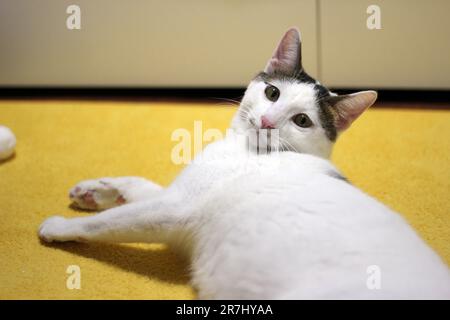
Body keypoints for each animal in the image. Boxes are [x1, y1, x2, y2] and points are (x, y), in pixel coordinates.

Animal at [39, 28, 450, 300]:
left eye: (302, 120)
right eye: (272, 92)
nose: (267, 121)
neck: (240, 147)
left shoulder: (175, 209)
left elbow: (110, 222)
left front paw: (62, 226)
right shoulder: (180, 192)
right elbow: (141, 186)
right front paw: (96, 191)